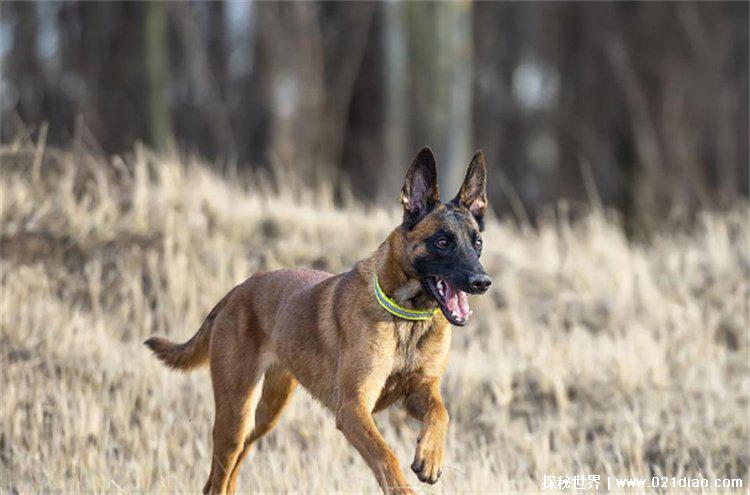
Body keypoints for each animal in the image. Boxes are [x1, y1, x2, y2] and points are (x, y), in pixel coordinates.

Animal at [146, 148, 494, 495]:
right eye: (442, 242)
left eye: (477, 242)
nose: (482, 282)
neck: (406, 318)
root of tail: (238, 290)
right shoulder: (353, 408)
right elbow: (385, 455)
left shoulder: (418, 391)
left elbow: (441, 413)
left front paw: (430, 457)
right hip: (236, 412)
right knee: (219, 474)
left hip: (267, 414)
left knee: (233, 467)